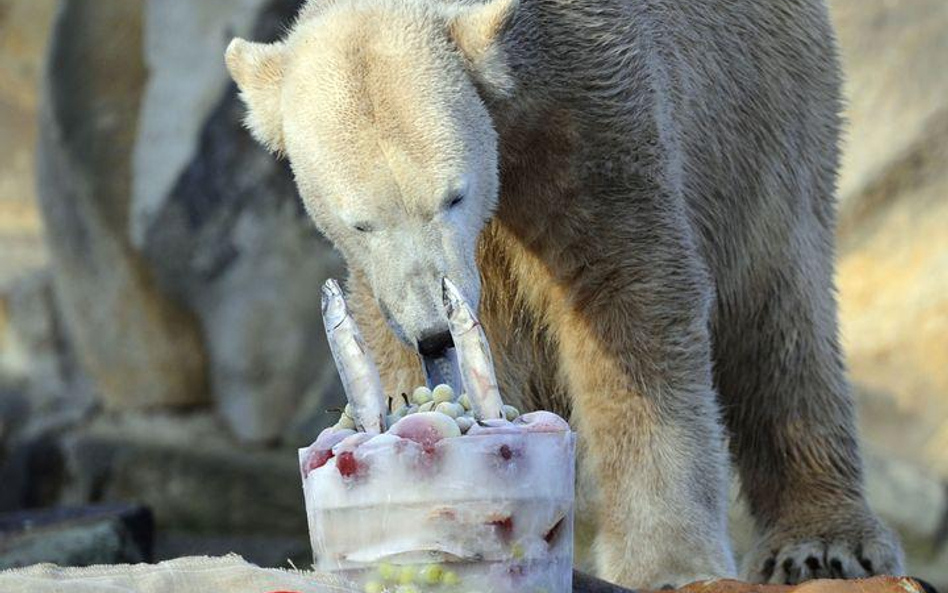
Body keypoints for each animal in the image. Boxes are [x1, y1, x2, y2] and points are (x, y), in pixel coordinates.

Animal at [224, 0, 904, 584]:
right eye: (361, 221)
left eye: (453, 195)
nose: (435, 331)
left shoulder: (586, 104)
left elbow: (628, 303)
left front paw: (667, 565)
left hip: (762, 106)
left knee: (779, 304)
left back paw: (823, 544)